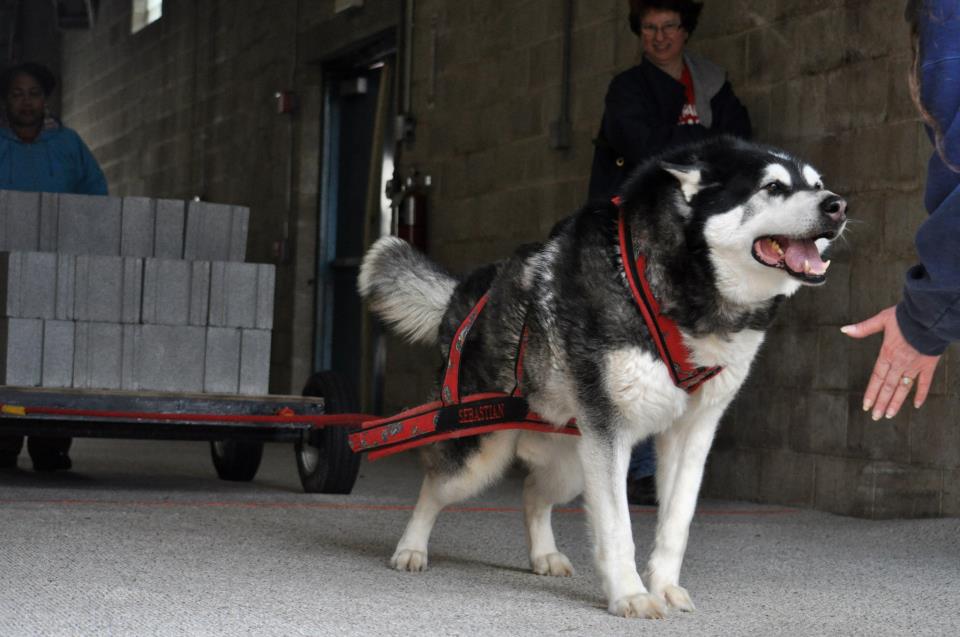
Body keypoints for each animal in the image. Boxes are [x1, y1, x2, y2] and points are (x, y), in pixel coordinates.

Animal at [358, 138, 848, 616]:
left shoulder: (691, 432)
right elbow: (617, 527)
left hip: (575, 461)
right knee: (434, 484)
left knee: (533, 491)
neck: (682, 289)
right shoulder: (611, 431)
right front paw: (630, 595)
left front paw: (664, 586)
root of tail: (466, 291)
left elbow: (677, 522)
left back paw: (544, 554)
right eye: (773, 187)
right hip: (484, 449)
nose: (838, 205)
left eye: (817, 184)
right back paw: (411, 548)